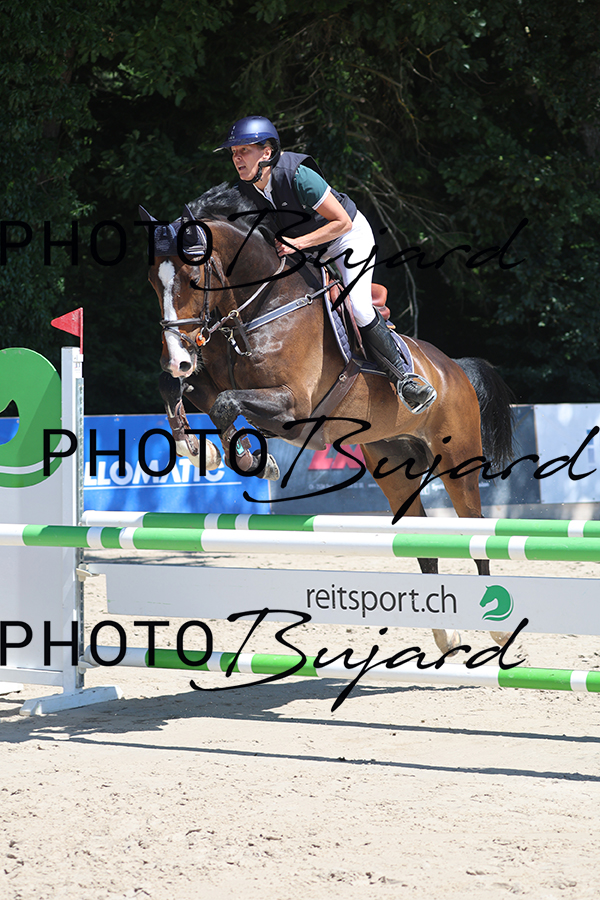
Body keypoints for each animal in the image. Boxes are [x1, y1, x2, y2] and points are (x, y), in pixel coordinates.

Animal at [139, 183, 516, 655]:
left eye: (193, 278)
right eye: (152, 281)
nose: (177, 357)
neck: (260, 310)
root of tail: (455, 369)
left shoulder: (293, 407)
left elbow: (226, 405)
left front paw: (250, 460)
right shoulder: (210, 382)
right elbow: (181, 391)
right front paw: (203, 451)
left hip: (457, 460)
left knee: (475, 529)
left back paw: (497, 629)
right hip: (395, 465)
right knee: (421, 539)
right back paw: (448, 635)